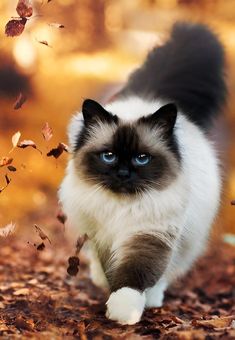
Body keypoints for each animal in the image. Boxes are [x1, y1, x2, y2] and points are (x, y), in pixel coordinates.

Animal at [58, 22, 226, 326]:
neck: (122, 208)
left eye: (142, 158)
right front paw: (112, 300)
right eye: (109, 156)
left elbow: (134, 277)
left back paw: (153, 300)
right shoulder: (103, 236)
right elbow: (112, 272)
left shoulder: (150, 234)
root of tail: (149, 98)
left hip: (187, 240)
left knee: (167, 274)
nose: (124, 173)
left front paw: (125, 312)